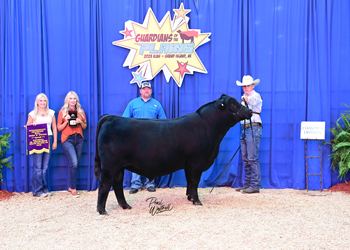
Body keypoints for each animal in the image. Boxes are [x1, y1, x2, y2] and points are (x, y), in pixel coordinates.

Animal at [93, 94, 252, 214]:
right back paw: (102, 210)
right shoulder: (197, 162)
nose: (250, 111)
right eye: (233, 104)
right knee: (105, 183)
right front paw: (197, 201)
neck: (209, 126)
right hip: (110, 165)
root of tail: (111, 117)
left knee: (117, 184)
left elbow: (190, 181)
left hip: (118, 167)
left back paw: (125, 206)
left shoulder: (189, 164)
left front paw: (190, 198)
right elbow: (194, 181)